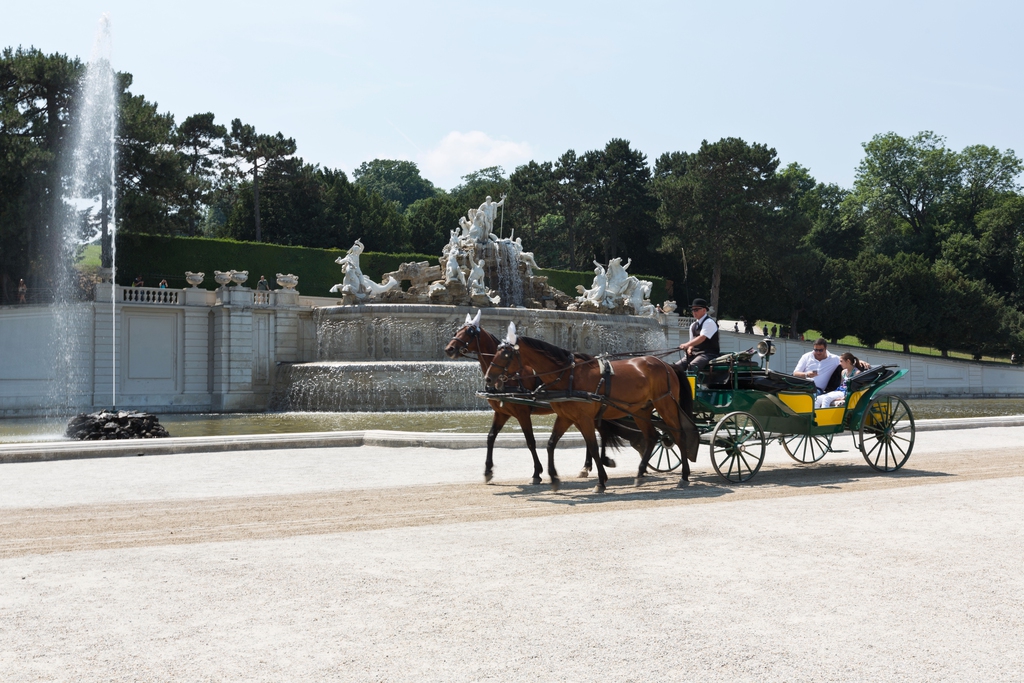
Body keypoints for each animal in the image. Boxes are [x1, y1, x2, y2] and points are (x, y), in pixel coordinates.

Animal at [444, 313, 626, 483]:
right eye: (457, 330)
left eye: (469, 332)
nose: (449, 349)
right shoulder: (501, 412)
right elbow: (490, 437)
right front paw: (488, 470)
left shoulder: (522, 413)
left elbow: (530, 441)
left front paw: (537, 472)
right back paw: (587, 466)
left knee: (596, 434)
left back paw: (594, 464)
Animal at [485, 321, 696, 491]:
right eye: (495, 352)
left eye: (506, 354)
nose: (488, 378)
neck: (568, 375)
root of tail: (667, 365)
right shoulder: (565, 416)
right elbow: (551, 444)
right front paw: (553, 477)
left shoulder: (583, 418)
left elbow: (593, 447)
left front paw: (601, 481)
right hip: (641, 409)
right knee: (652, 437)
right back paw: (640, 474)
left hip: (665, 405)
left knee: (678, 435)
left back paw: (684, 476)